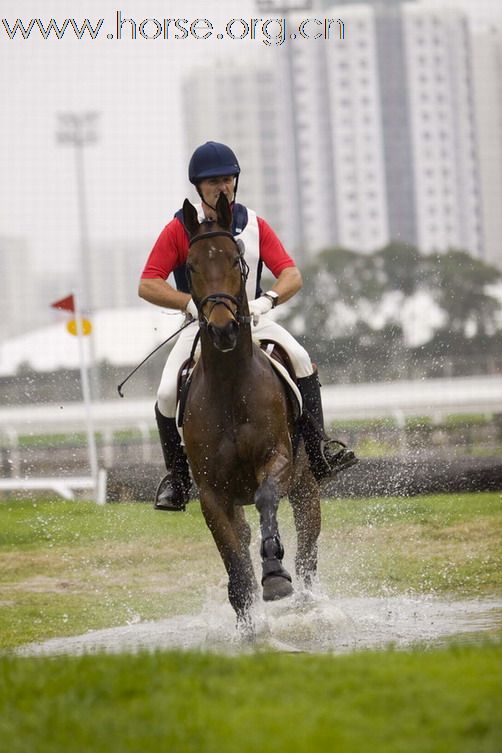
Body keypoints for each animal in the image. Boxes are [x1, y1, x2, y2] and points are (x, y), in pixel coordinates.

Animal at [181, 194, 322, 628]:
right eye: (191, 265)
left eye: (235, 259)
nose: (223, 329)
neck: (230, 384)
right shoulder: (212, 493)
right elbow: (233, 557)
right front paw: (246, 616)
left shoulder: (276, 459)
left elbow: (266, 499)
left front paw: (274, 576)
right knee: (242, 540)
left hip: (306, 486)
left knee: (308, 551)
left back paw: (310, 602)